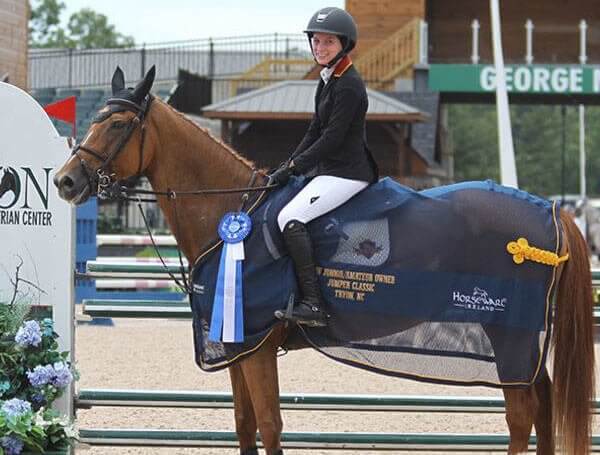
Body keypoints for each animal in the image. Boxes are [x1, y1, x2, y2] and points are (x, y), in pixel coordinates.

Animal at [52, 67, 596, 455]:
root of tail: (550, 210)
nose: (64, 181)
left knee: (522, 417)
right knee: (542, 411)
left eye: (118, 124)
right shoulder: (238, 345)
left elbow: (270, 427)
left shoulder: (256, 346)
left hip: (508, 337)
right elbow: (244, 426)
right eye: (94, 119)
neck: (230, 209)